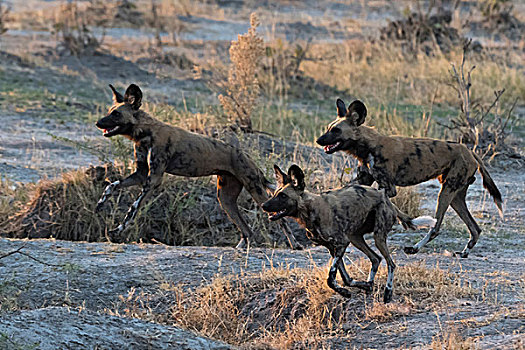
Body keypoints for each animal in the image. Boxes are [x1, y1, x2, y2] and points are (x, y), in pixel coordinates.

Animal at [94, 83, 298, 249]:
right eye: (109, 111)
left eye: (116, 114)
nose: (97, 122)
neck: (145, 133)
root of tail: (246, 155)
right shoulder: (141, 174)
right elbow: (112, 185)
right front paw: (100, 204)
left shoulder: (153, 180)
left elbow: (133, 209)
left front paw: (118, 230)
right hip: (225, 199)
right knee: (247, 230)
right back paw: (240, 248)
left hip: (256, 191)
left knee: (279, 221)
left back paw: (294, 244)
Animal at [260, 164, 436, 304]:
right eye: (274, 194)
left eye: (283, 196)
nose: (263, 205)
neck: (309, 211)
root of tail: (386, 198)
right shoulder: (334, 247)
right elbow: (345, 278)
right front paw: (359, 286)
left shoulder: (341, 243)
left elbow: (331, 278)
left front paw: (346, 292)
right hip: (355, 238)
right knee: (376, 258)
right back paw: (369, 285)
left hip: (377, 237)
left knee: (391, 263)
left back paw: (387, 292)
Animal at [316, 98, 504, 258]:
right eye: (328, 128)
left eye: (336, 130)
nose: (318, 140)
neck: (367, 146)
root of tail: (469, 151)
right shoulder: (363, 180)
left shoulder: (388, 188)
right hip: (455, 197)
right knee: (475, 228)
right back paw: (465, 252)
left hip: (446, 192)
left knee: (436, 227)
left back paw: (414, 248)